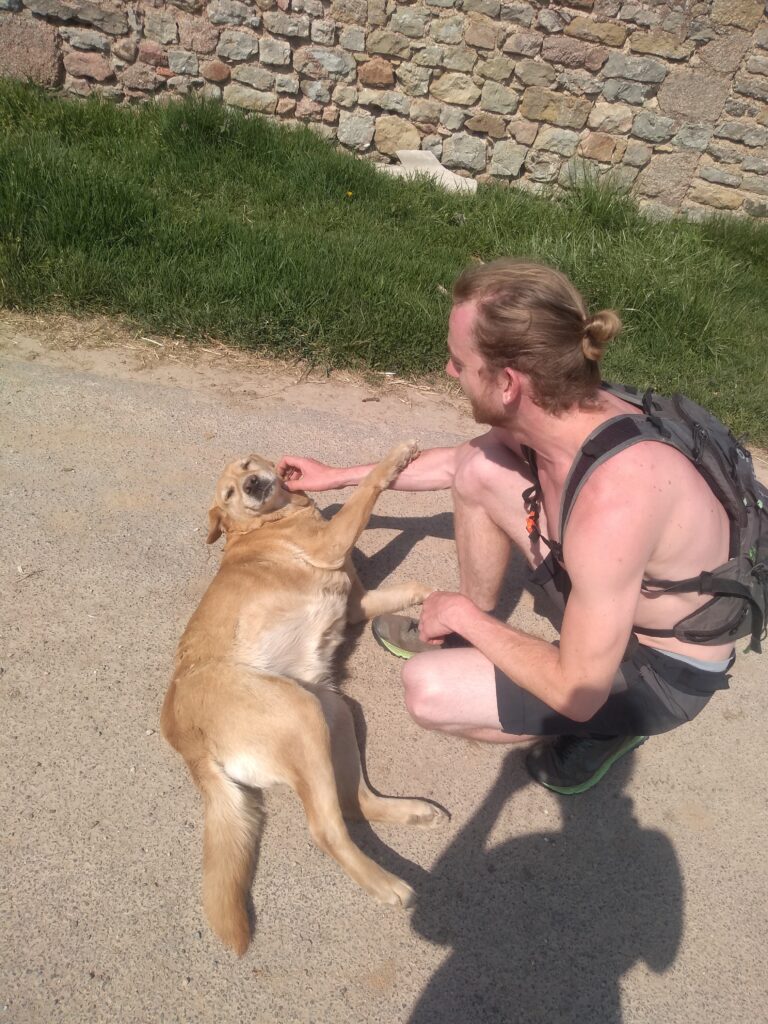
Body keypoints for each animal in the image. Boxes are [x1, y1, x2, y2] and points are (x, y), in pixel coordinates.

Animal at [159, 440, 448, 950]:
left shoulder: (356, 604)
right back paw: (386, 885)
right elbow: (367, 486)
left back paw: (414, 814)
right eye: (230, 493)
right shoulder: (332, 543)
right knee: (326, 828)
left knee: (354, 803)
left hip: (334, 711)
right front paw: (398, 457)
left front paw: (435, 598)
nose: (253, 485)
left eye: (248, 467)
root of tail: (184, 737)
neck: (270, 521)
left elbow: (407, 587)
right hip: (301, 714)